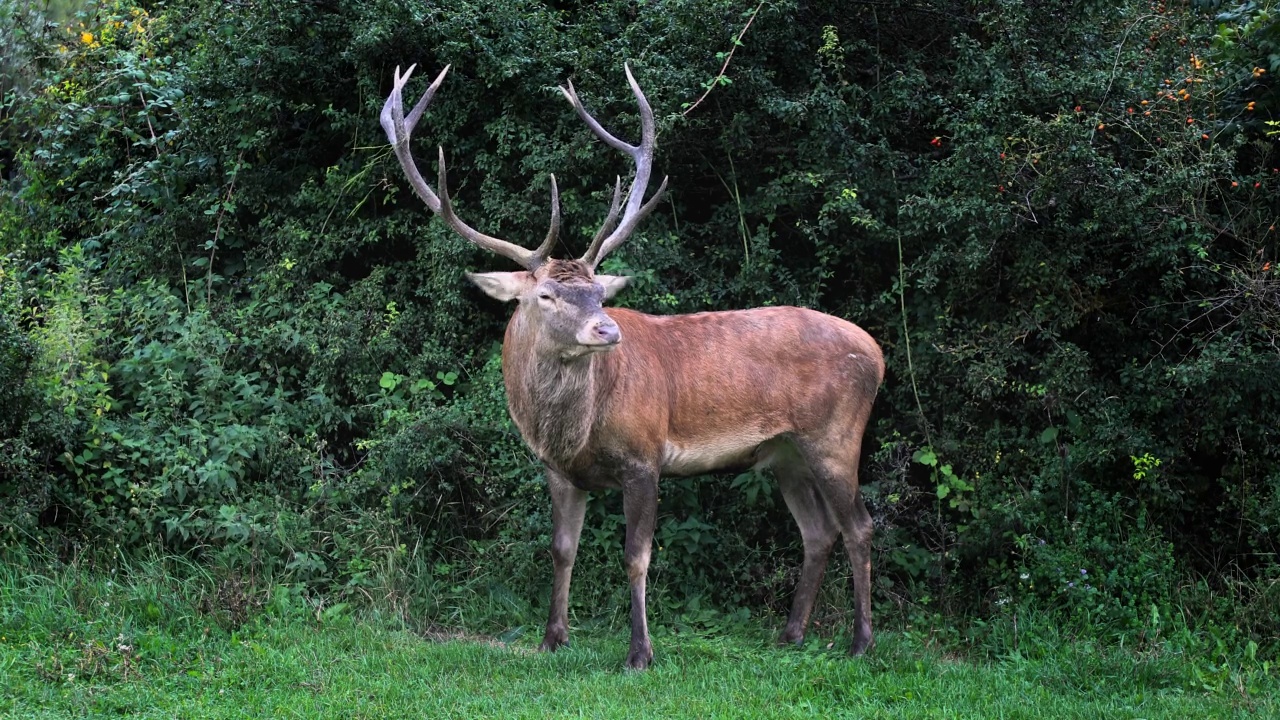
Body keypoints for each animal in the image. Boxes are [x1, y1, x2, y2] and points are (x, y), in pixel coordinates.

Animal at [373, 61, 885, 666]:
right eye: (545, 295)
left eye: (599, 292)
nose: (607, 330)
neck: (573, 431)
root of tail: (878, 352)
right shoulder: (557, 470)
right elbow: (561, 549)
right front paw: (553, 638)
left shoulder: (645, 457)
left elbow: (635, 555)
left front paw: (640, 651)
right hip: (785, 453)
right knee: (817, 531)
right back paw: (790, 634)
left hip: (835, 435)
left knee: (859, 526)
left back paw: (861, 642)